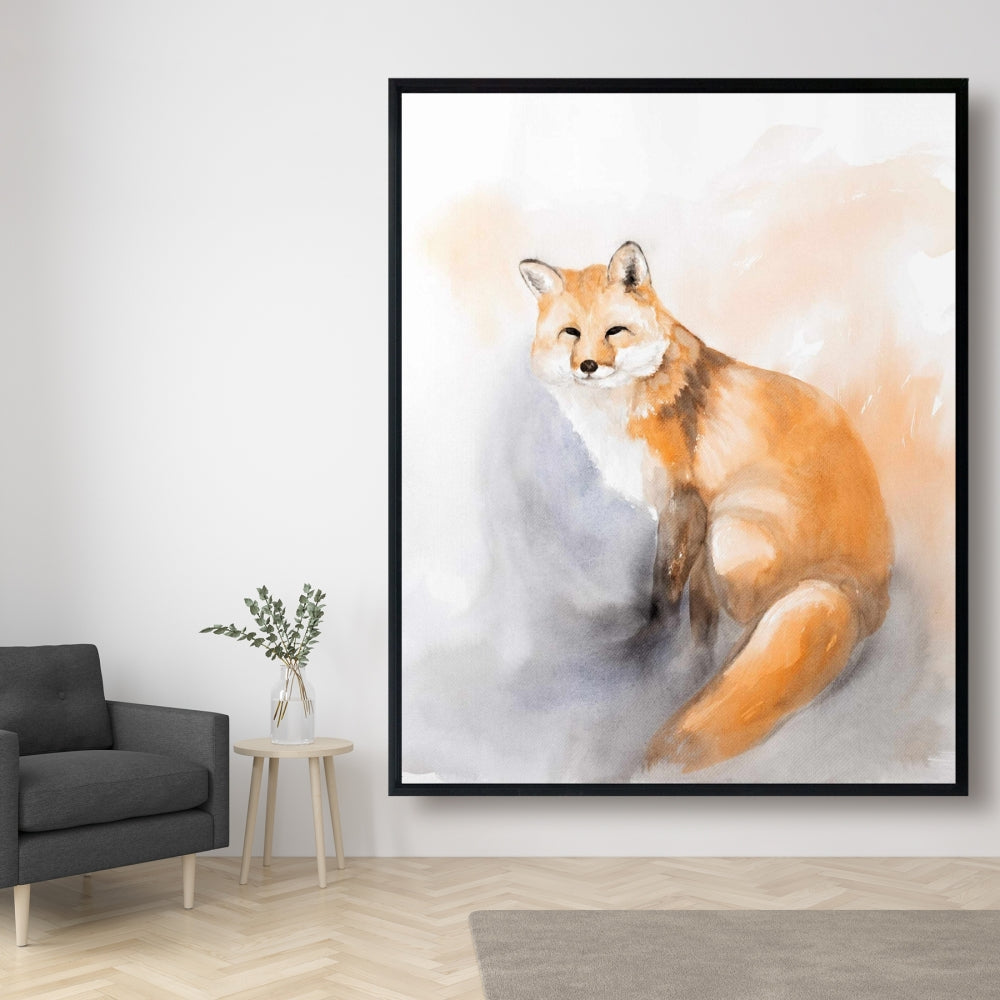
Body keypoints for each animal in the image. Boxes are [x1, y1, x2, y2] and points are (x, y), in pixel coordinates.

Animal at [519, 241, 893, 773]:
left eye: (614, 331)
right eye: (570, 333)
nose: (588, 365)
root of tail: (857, 592)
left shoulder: (686, 504)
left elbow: (664, 592)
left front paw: (647, 649)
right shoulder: (690, 516)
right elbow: (695, 602)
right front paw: (691, 652)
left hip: (733, 530)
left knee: (756, 620)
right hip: (724, 530)